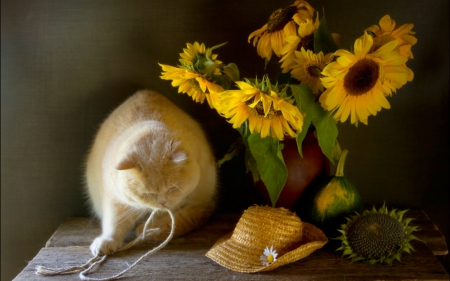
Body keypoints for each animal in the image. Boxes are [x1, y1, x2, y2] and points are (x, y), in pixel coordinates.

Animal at [85, 90, 218, 256]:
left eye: (173, 188)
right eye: (147, 194)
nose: (162, 203)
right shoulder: (115, 200)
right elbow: (115, 223)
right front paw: (108, 241)